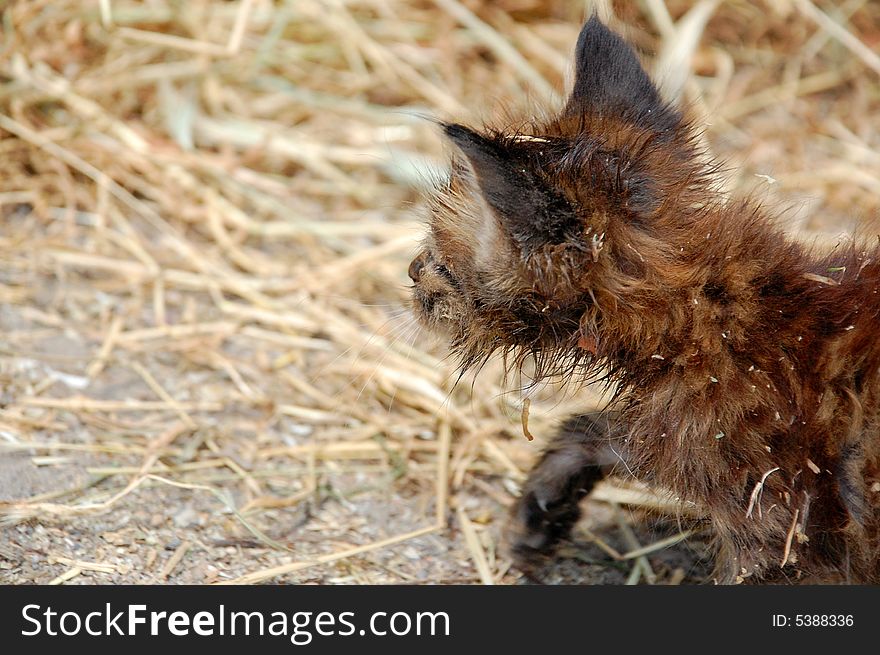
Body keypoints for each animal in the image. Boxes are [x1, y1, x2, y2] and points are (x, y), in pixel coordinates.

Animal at [410, 16, 880, 584]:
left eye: (440, 258)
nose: (412, 273)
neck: (709, 314)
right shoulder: (678, 443)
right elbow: (598, 428)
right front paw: (539, 511)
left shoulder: (781, 526)